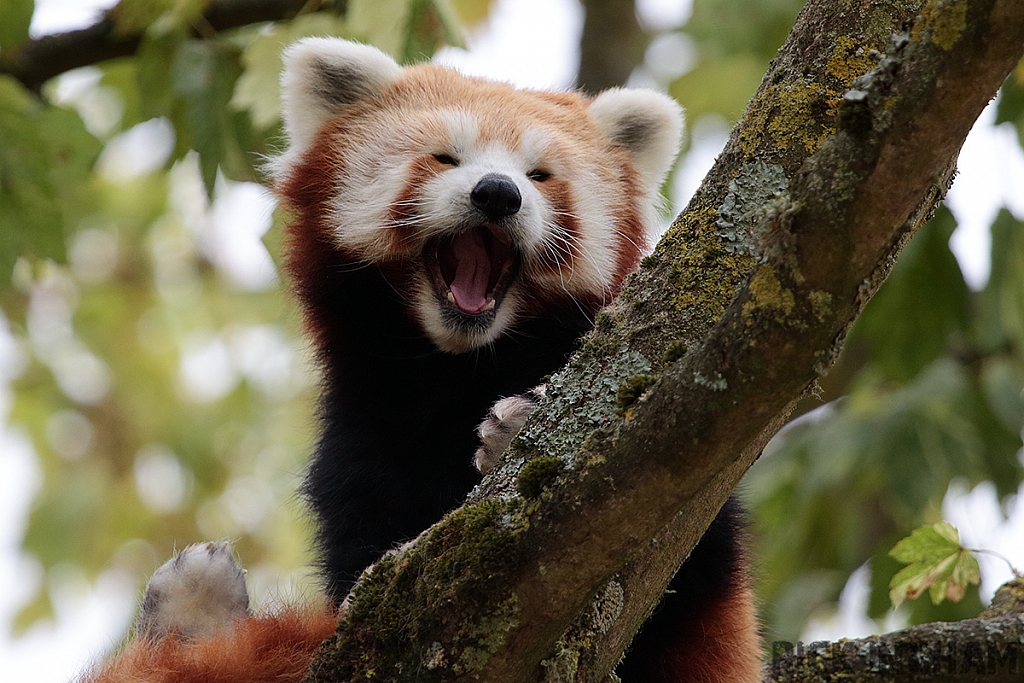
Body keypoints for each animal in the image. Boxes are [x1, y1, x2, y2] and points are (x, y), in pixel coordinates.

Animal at [81, 36, 761, 683]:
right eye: (445, 158)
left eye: (539, 174)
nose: (498, 193)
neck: (456, 368)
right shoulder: (364, 441)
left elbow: (681, 575)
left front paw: (513, 429)